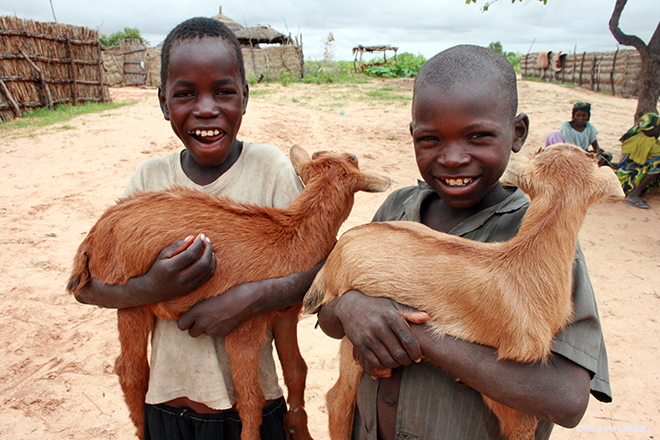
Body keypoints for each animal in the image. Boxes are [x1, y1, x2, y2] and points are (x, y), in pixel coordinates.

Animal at [65, 145, 392, 440]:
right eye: (353, 158)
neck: (290, 237)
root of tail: (92, 237)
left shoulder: (284, 315)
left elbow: (296, 370)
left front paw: (300, 432)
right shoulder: (244, 330)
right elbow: (251, 398)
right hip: (130, 299)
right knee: (130, 369)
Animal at [302, 145, 624, 440]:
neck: (524, 265)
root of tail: (331, 261)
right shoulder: (515, 362)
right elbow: (523, 427)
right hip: (351, 329)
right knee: (339, 398)